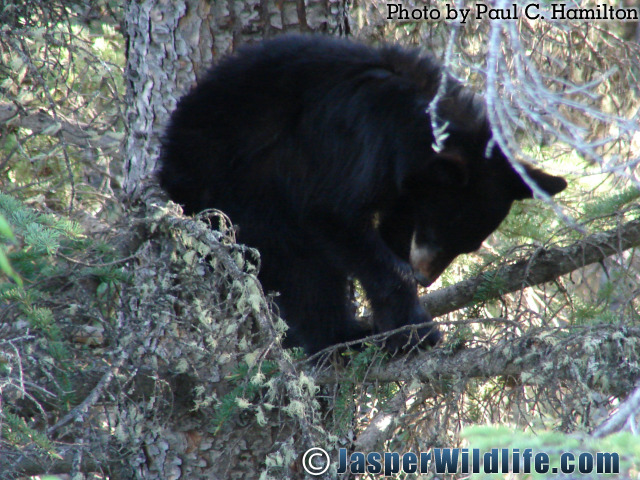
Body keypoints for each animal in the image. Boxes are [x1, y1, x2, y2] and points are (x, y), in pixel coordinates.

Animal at [159, 35, 567, 355]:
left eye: (468, 246)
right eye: (438, 230)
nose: (426, 280)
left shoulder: (403, 189)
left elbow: (391, 235)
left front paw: (396, 328)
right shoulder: (357, 146)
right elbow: (332, 213)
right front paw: (417, 334)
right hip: (239, 189)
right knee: (299, 266)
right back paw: (333, 342)